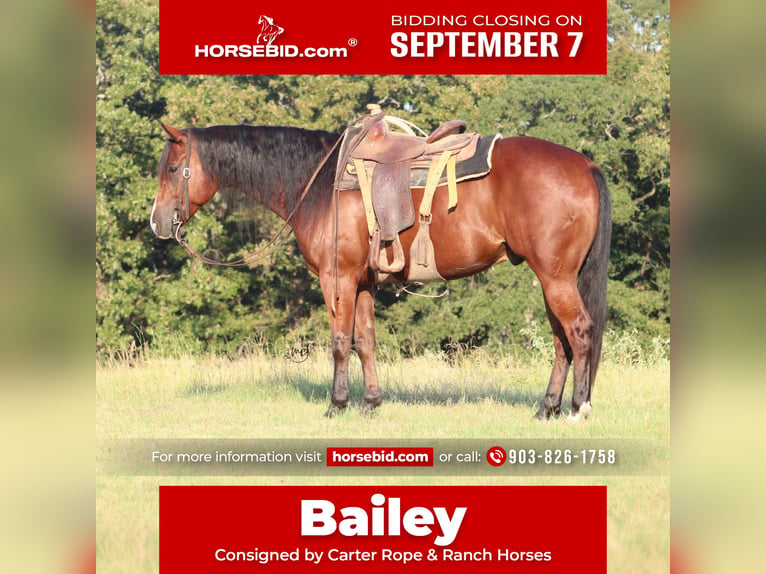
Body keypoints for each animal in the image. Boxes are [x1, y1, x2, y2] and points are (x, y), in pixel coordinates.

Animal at [150, 118, 612, 420]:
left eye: (172, 168)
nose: (157, 223)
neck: (320, 185)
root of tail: (585, 164)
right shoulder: (363, 283)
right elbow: (366, 342)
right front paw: (371, 403)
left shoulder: (336, 279)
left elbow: (340, 342)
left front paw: (337, 405)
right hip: (553, 279)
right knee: (561, 342)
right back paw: (546, 409)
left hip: (555, 279)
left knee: (579, 333)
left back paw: (579, 407)